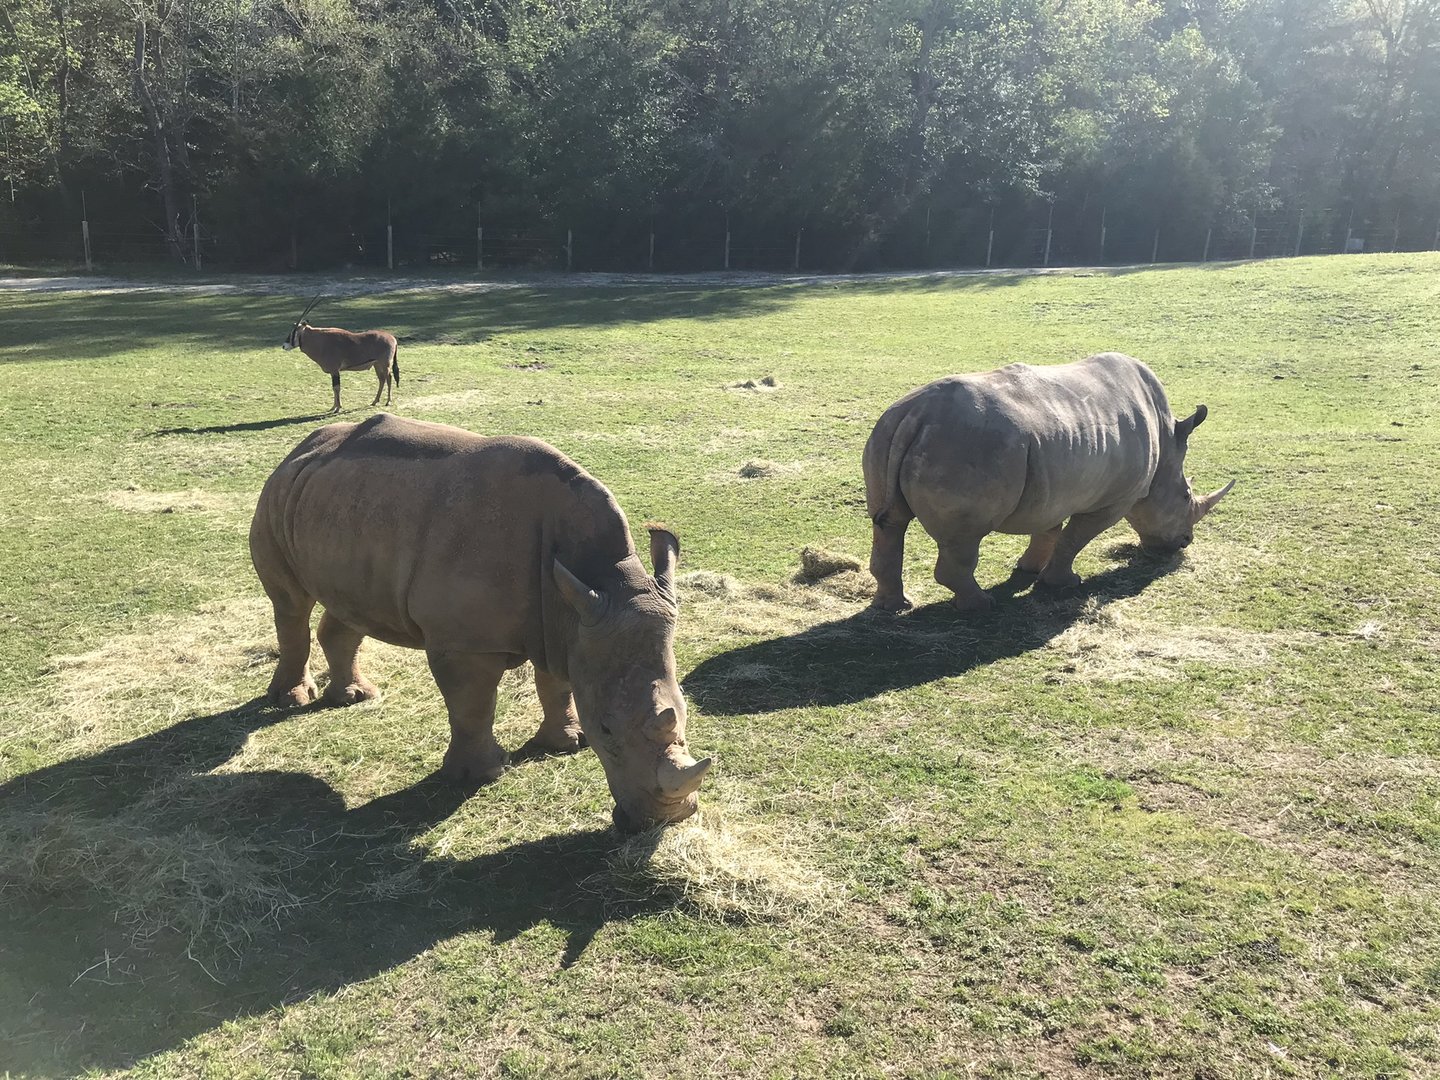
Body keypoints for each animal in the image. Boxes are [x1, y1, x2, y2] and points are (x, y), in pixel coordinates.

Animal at [249, 413, 710, 831]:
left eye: (687, 714)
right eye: (608, 730)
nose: (662, 822)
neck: (602, 576)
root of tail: (300, 448)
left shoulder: (567, 622)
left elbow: (556, 685)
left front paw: (567, 743)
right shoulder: (466, 643)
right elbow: (473, 704)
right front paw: (482, 775)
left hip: (343, 508)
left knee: (349, 606)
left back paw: (356, 697)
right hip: (276, 495)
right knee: (291, 604)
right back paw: (293, 699)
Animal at [862, 352, 1234, 612]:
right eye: (1185, 496)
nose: (1183, 543)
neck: (1166, 442)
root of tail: (916, 414)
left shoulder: (1055, 485)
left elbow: (1049, 530)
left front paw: (1028, 570)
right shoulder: (1116, 499)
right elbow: (1075, 538)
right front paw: (1064, 584)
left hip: (888, 431)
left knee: (889, 524)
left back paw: (893, 606)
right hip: (966, 445)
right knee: (964, 538)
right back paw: (980, 606)